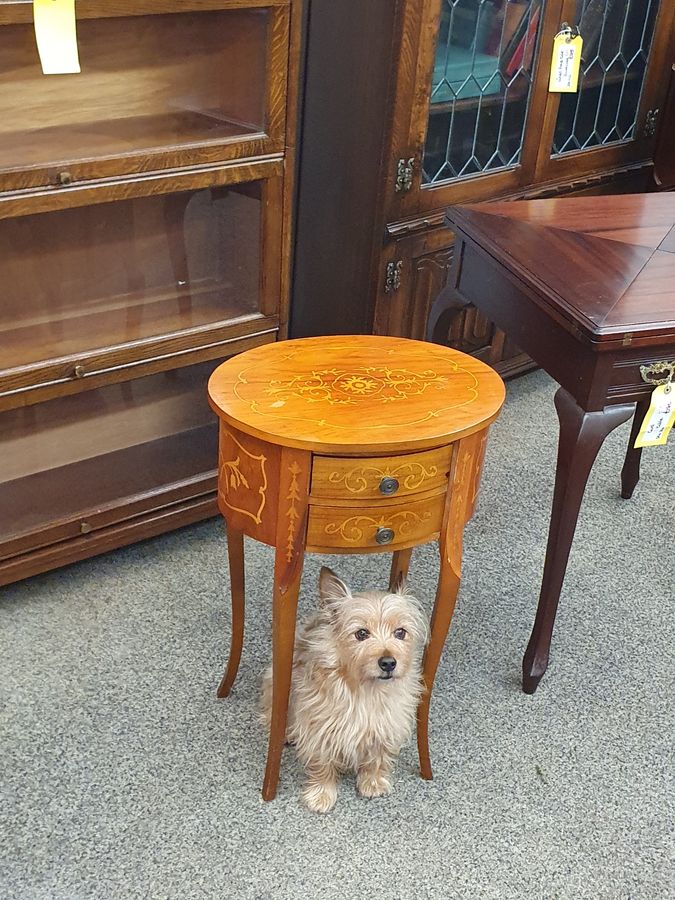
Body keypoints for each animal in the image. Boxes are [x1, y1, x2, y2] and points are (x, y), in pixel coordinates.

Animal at [262, 568, 428, 816]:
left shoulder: (387, 722)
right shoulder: (319, 726)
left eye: (400, 632)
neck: (366, 689)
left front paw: (372, 781)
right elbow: (322, 763)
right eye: (361, 633)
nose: (388, 663)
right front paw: (321, 794)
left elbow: (378, 755)